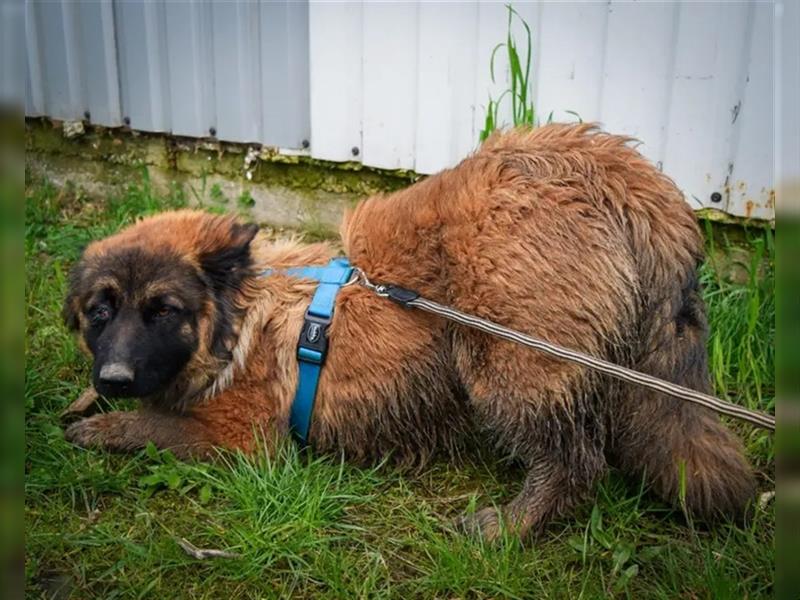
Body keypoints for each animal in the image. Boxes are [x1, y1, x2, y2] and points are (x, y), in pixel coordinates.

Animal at [64, 124, 756, 536]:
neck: (243, 316)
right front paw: (89, 400)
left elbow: (154, 425)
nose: (116, 375)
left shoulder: (241, 438)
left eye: (163, 311)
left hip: (507, 359)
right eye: (101, 311)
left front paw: (103, 427)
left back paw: (512, 526)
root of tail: (605, 168)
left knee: (574, 460)